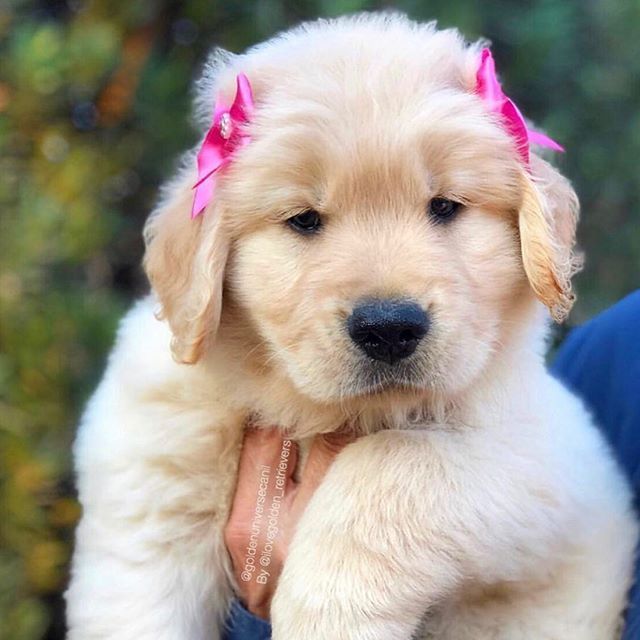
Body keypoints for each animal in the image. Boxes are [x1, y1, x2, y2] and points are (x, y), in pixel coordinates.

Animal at [63, 11, 636, 640]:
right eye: (304, 220)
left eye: (445, 207)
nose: (389, 328)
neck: (315, 413)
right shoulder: (151, 479)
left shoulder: (546, 458)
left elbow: (394, 462)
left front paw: (331, 609)